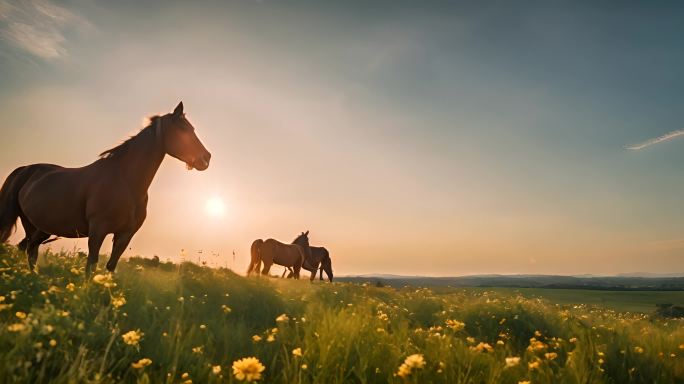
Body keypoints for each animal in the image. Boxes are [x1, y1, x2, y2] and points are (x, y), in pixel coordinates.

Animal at [0, 101, 211, 276]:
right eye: (183, 129)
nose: (206, 158)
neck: (126, 182)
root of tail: (24, 169)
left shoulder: (125, 235)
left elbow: (110, 268)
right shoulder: (97, 231)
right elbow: (91, 267)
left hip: (39, 227)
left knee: (30, 250)